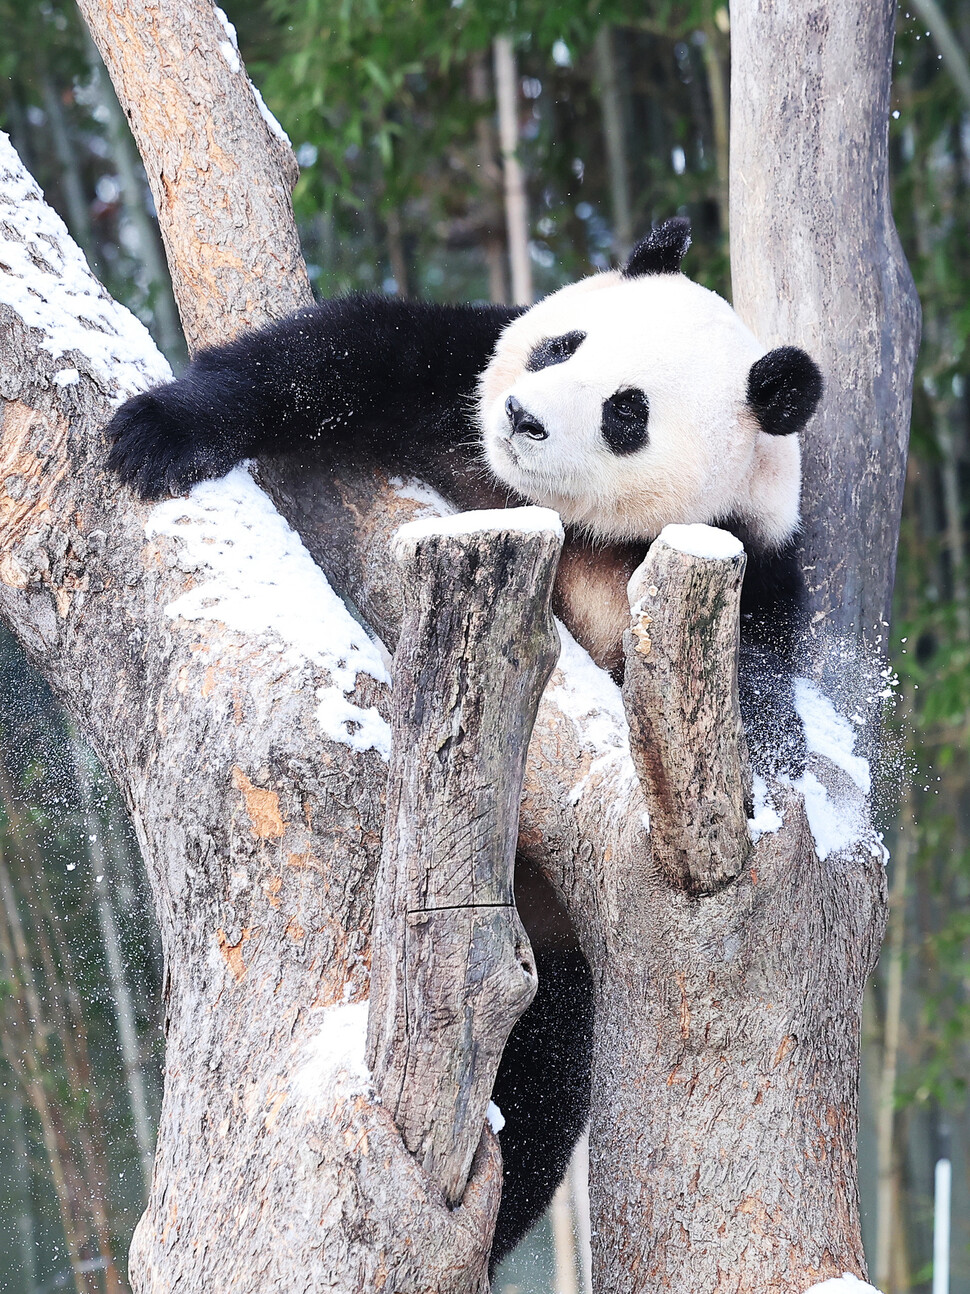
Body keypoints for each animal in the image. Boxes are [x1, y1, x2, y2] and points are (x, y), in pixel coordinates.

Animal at [104, 217, 822, 1268]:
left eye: (627, 413)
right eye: (562, 345)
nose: (523, 417)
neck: (563, 518)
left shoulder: (747, 560)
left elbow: (761, 685)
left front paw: (760, 774)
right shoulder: (453, 385)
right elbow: (342, 355)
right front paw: (155, 433)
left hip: (552, 954)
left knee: (543, 1087)